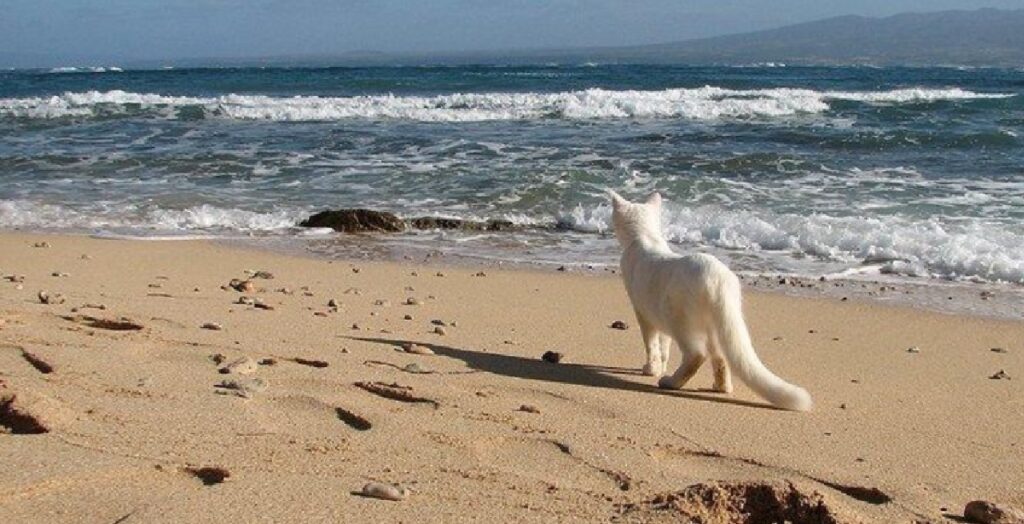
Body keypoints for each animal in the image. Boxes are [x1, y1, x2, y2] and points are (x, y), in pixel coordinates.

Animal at [610, 190, 811, 411]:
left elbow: (651, 345)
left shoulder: (643, 313)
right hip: (714, 325)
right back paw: (721, 387)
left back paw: (671, 382)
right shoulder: (657, 316)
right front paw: (661, 366)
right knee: (720, 357)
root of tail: (717, 277)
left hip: (679, 321)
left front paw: (651, 370)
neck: (645, 237)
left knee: (697, 355)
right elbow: (664, 347)